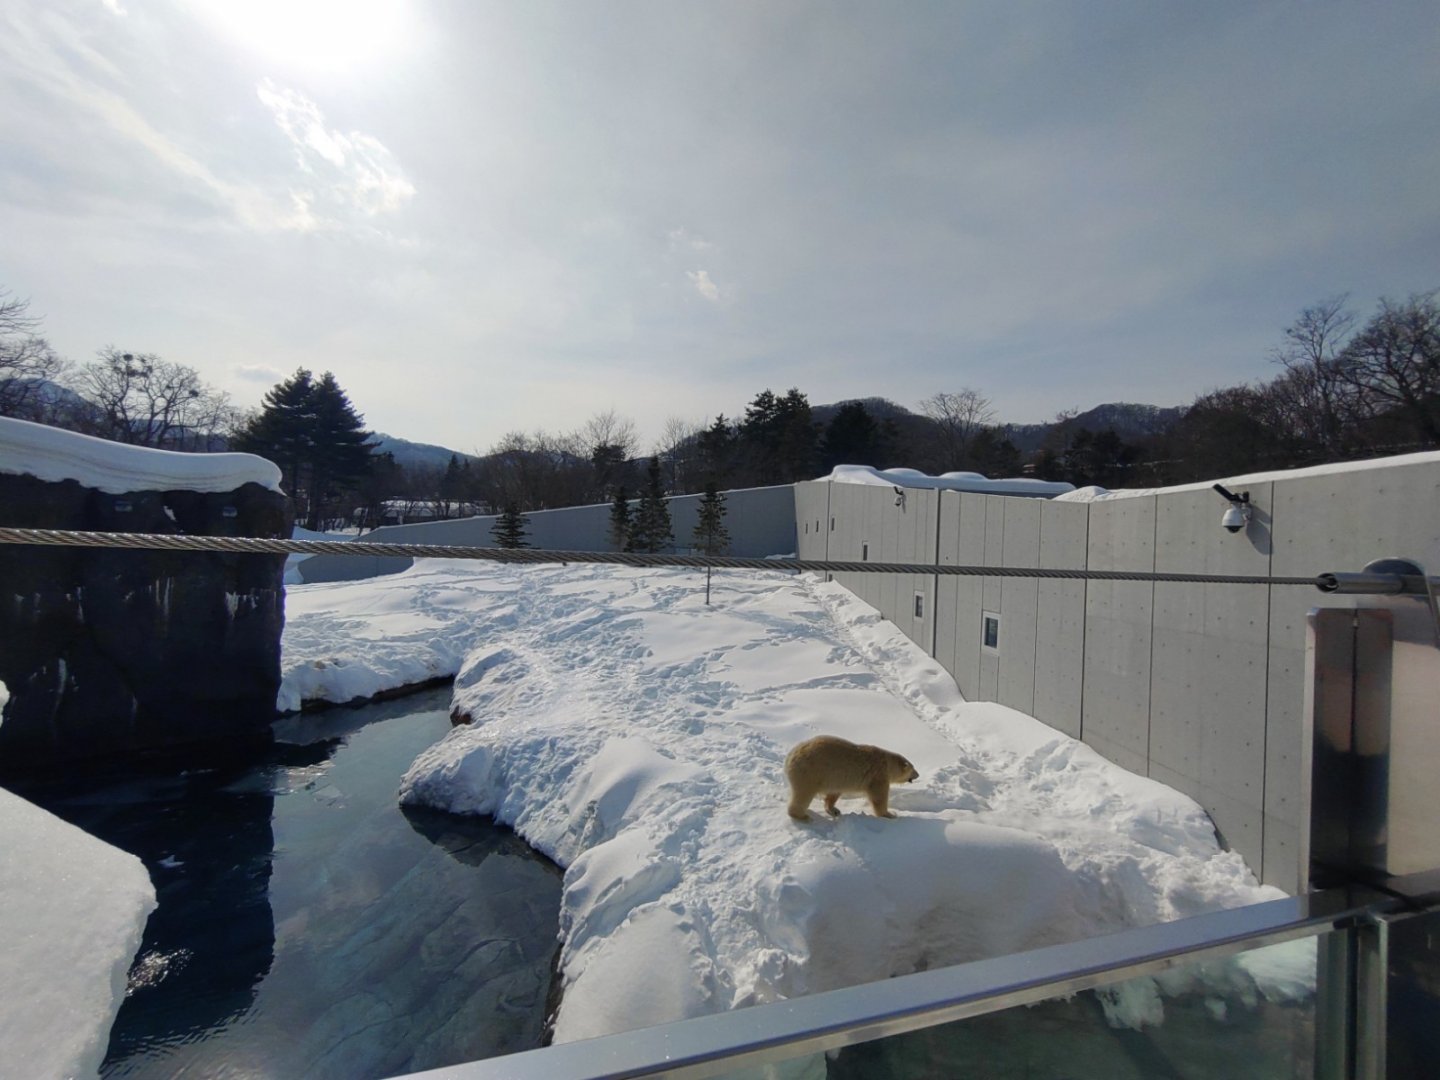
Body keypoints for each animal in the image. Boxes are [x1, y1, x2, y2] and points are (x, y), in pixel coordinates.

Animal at [784, 734, 919, 821]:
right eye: (913, 768)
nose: (918, 775)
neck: (887, 763)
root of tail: (791, 755)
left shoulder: (836, 779)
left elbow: (833, 794)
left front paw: (834, 810)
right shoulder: (878, 775)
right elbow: (879, 797)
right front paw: (890, 814)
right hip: (809, 773)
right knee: (803, 794)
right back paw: (802, 816)